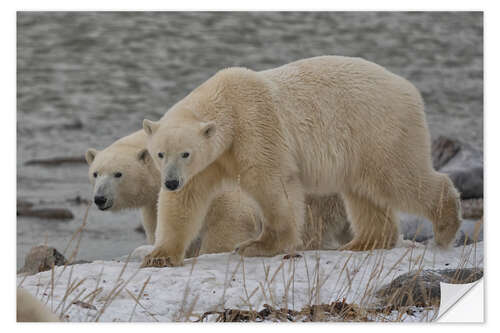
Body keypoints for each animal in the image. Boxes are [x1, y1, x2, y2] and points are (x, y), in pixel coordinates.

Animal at [85, 128, 352, 255]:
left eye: (118, 174)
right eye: (96, 173)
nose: (100, 199)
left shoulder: (225, 198)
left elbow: (225, 231)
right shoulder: (153, 204)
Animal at [141, 55, 460, 268]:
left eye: (186, 153)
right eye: (160, 154)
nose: (170, 181)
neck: (228, 105)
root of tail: (409, 88)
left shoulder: (256, 128)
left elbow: (273, 185)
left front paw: (257, 245)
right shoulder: (210, 161)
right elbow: (184, 201)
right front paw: (158, 256)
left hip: (377, 128)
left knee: (397, 178)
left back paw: (445, 226)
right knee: (364, 192)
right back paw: (363, 242)